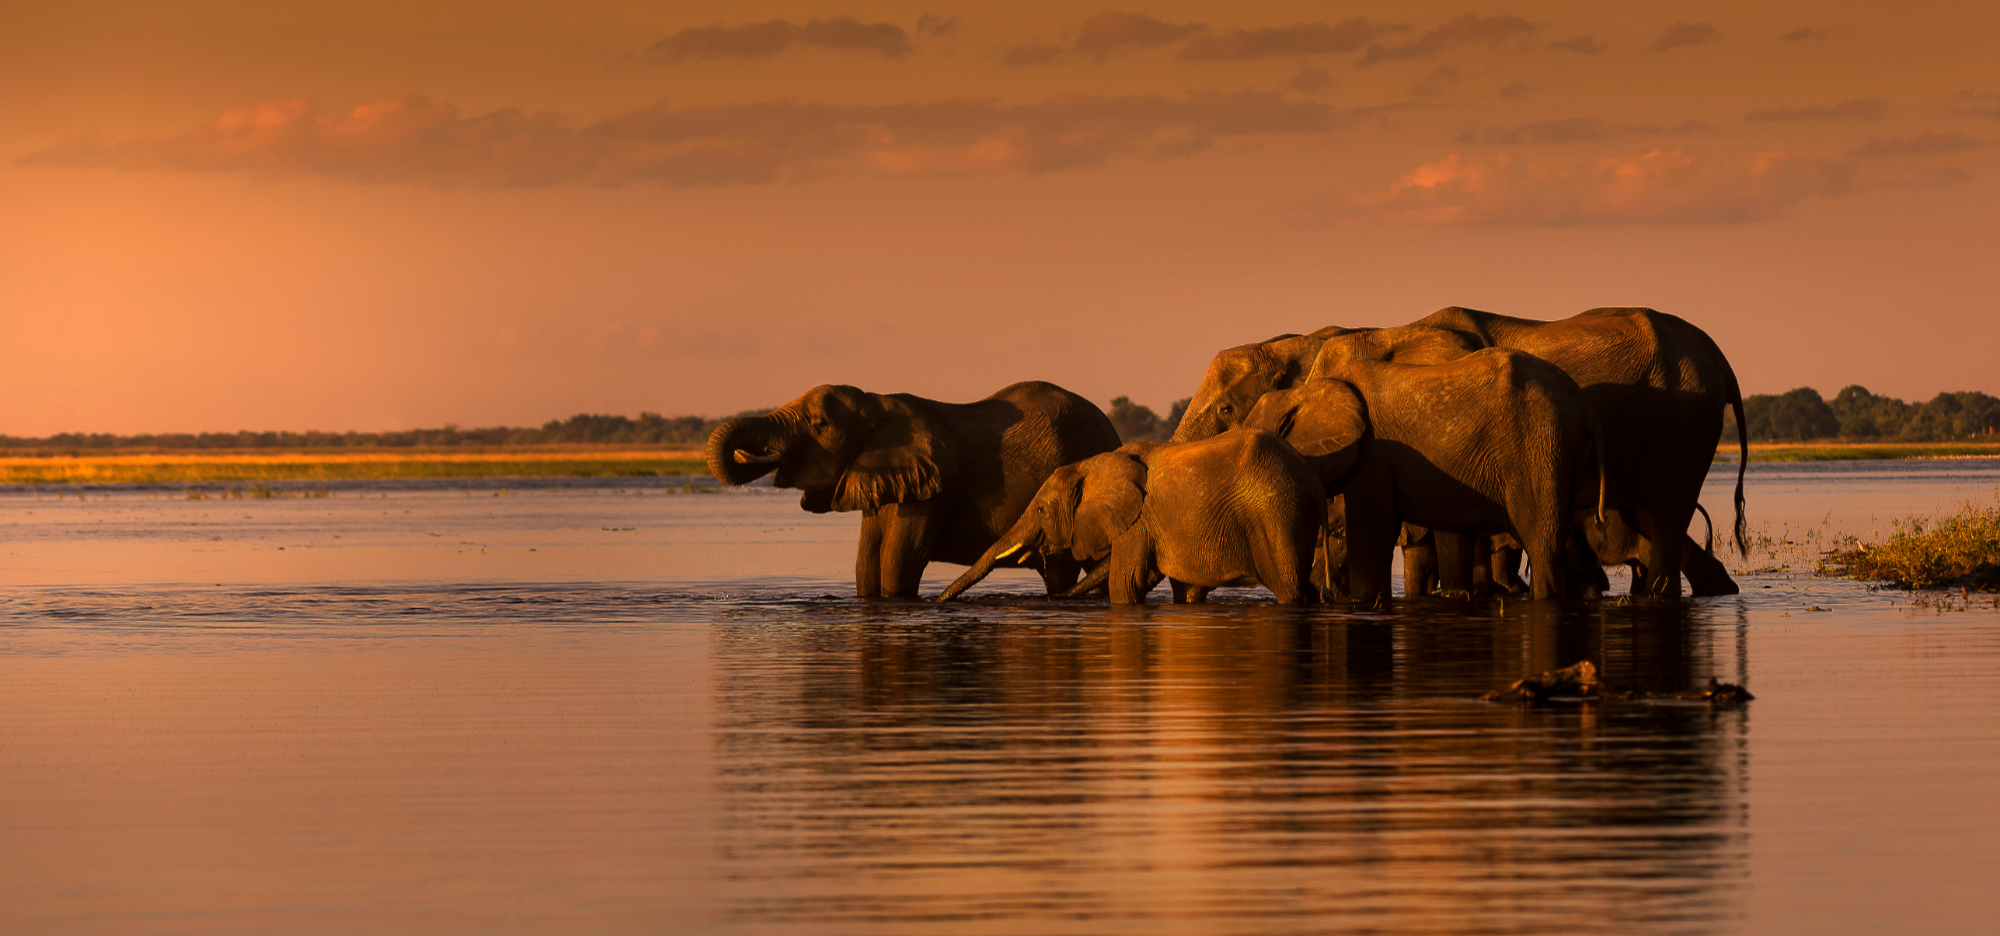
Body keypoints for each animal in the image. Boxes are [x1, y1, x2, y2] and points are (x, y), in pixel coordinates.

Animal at [937, 430, 1326, 605]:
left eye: (1040, 510)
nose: (939, 601)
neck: (1094, 464)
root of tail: (1310, 478)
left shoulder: (1136, 522)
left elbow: (1125, 581)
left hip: (1275, 515)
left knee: (1290, 586)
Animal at [1242, 349, 1603, 602]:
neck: (1308, 391)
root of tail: (1581, 404)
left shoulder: (1372, 453)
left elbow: (1372, 531)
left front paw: (1361, 602)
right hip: (1558, 452)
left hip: (1539, 445)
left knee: (1544, 547)